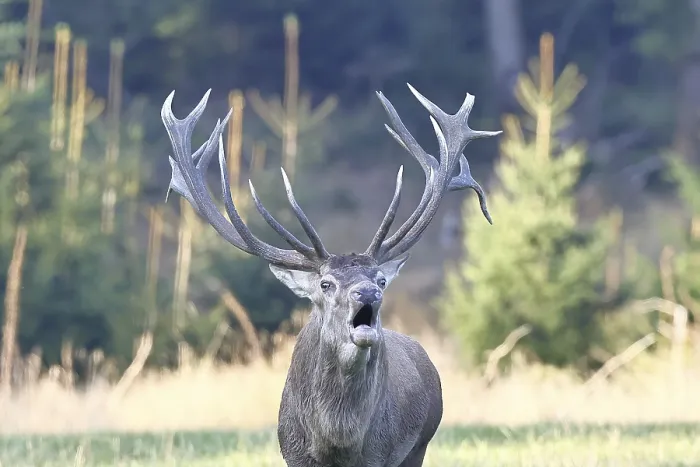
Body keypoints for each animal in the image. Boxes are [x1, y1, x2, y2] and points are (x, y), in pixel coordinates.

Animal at [161, 83, 500, 467]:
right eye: (325, 284)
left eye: (381, 280)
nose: (367, 293)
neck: (337, 441)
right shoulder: (293, 452)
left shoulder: (379, 454)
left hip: (418, 446)